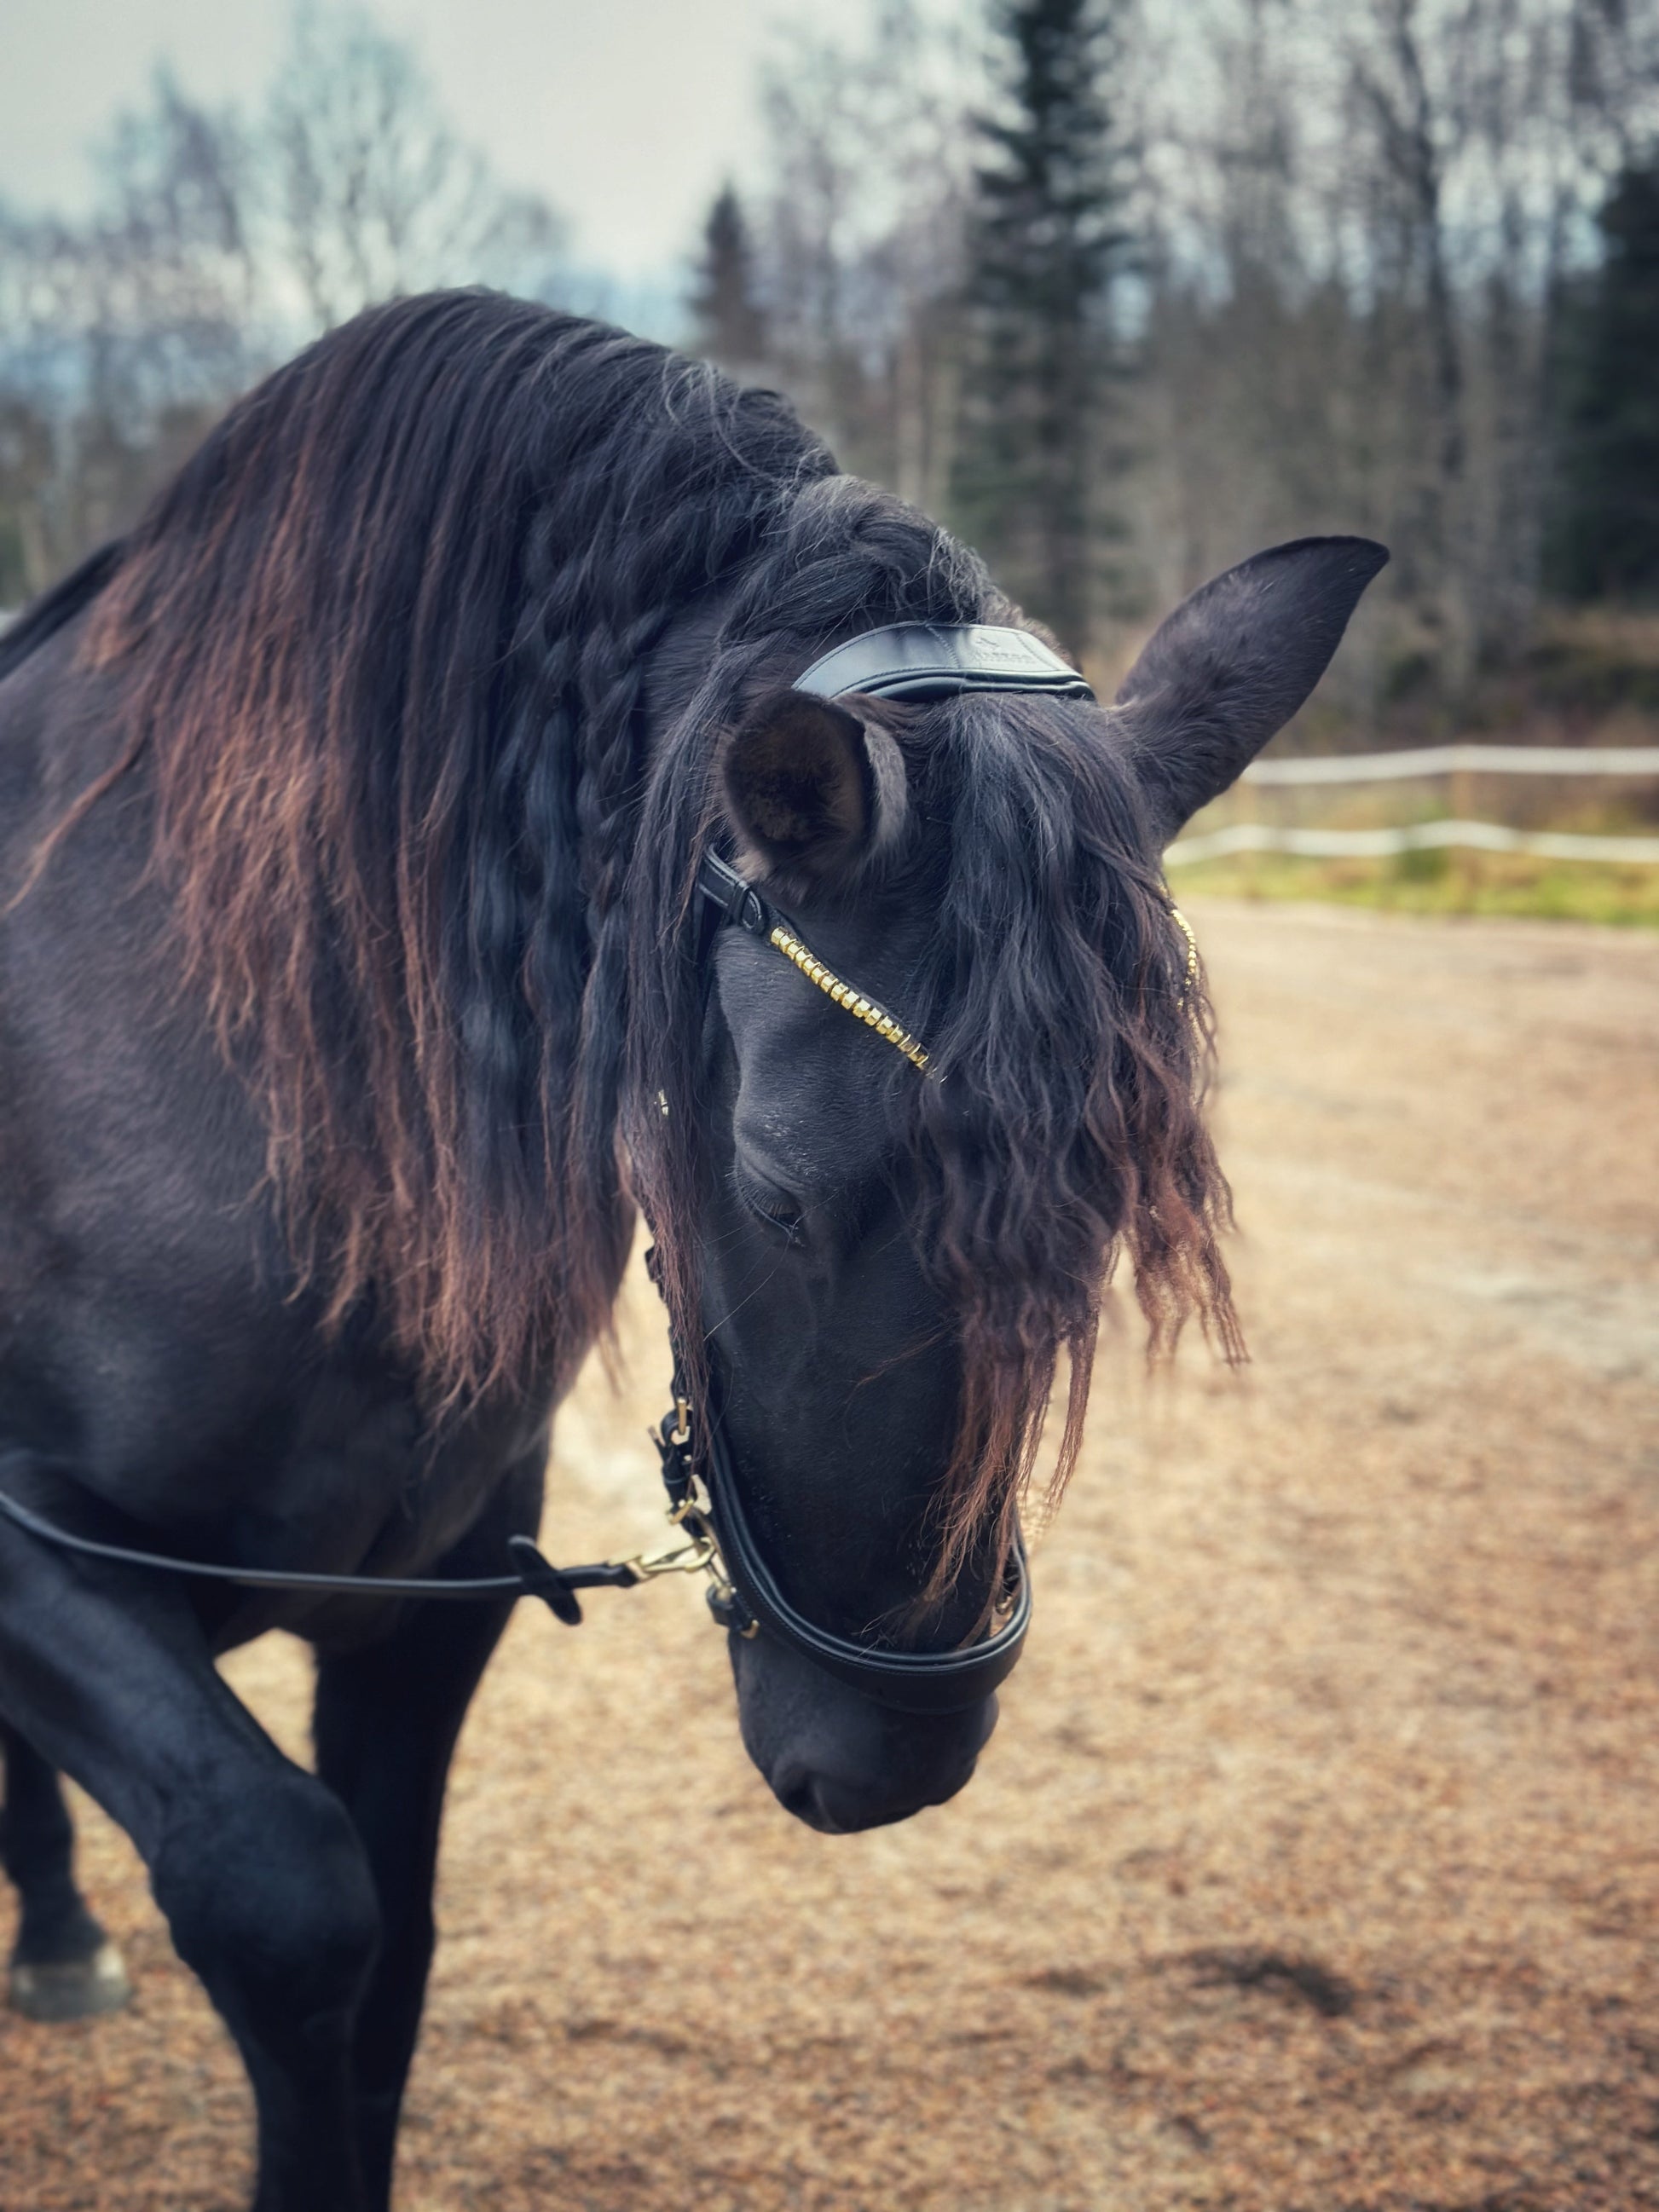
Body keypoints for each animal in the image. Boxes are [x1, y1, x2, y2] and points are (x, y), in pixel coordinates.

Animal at [0, 294, 1380, 2212]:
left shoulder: (425, 1602)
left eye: (1102, 1213)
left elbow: (389, 1958)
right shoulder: (40, 1559)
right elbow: (290, 1899)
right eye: (781, 1193)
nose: (894, 1760)